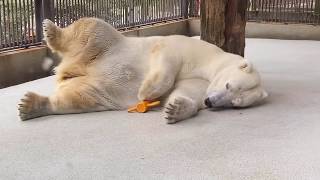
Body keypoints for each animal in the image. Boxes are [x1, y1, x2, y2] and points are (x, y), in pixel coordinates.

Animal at [17, 17, 268, 124]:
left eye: (235, 104)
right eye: (228, 84)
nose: (211, 102)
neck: (210, 62)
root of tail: (69, 71)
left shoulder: (201, 83)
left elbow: (185, 92)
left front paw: (175, 109)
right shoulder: (190, 48)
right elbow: (168, 59)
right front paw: (146, 92)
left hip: (96, 89)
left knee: (81, 98)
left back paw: (32, 105)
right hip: (106, 45)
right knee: (92, 29)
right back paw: (50, 29)